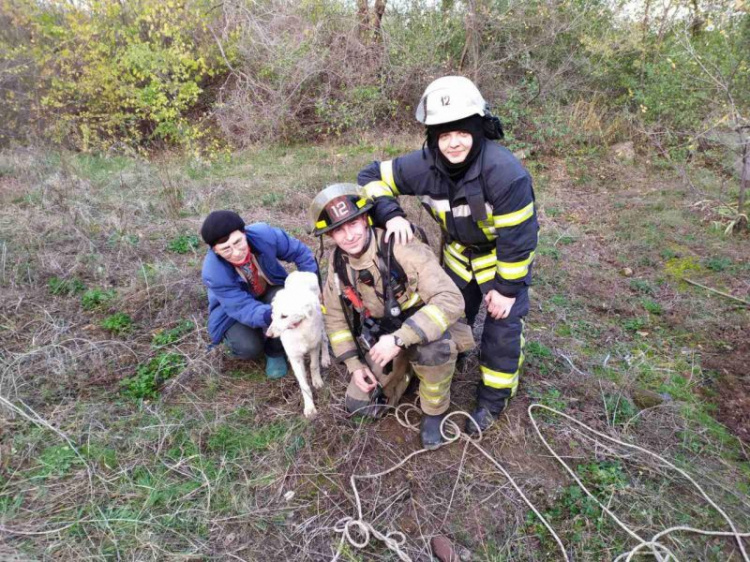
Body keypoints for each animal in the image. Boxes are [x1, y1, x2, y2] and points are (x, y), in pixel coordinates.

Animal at [268, 272, 330, 416]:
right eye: (273, 314)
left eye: (284, 316)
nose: (268, 334)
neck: (299, 328)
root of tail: (301, 272)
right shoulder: (295, 357)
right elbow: (303, 385)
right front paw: (309, 407)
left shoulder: (314, 346)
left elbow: (313, 366)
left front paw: (317, 381)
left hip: (321, 324)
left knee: (324, 339)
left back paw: (325, 358)